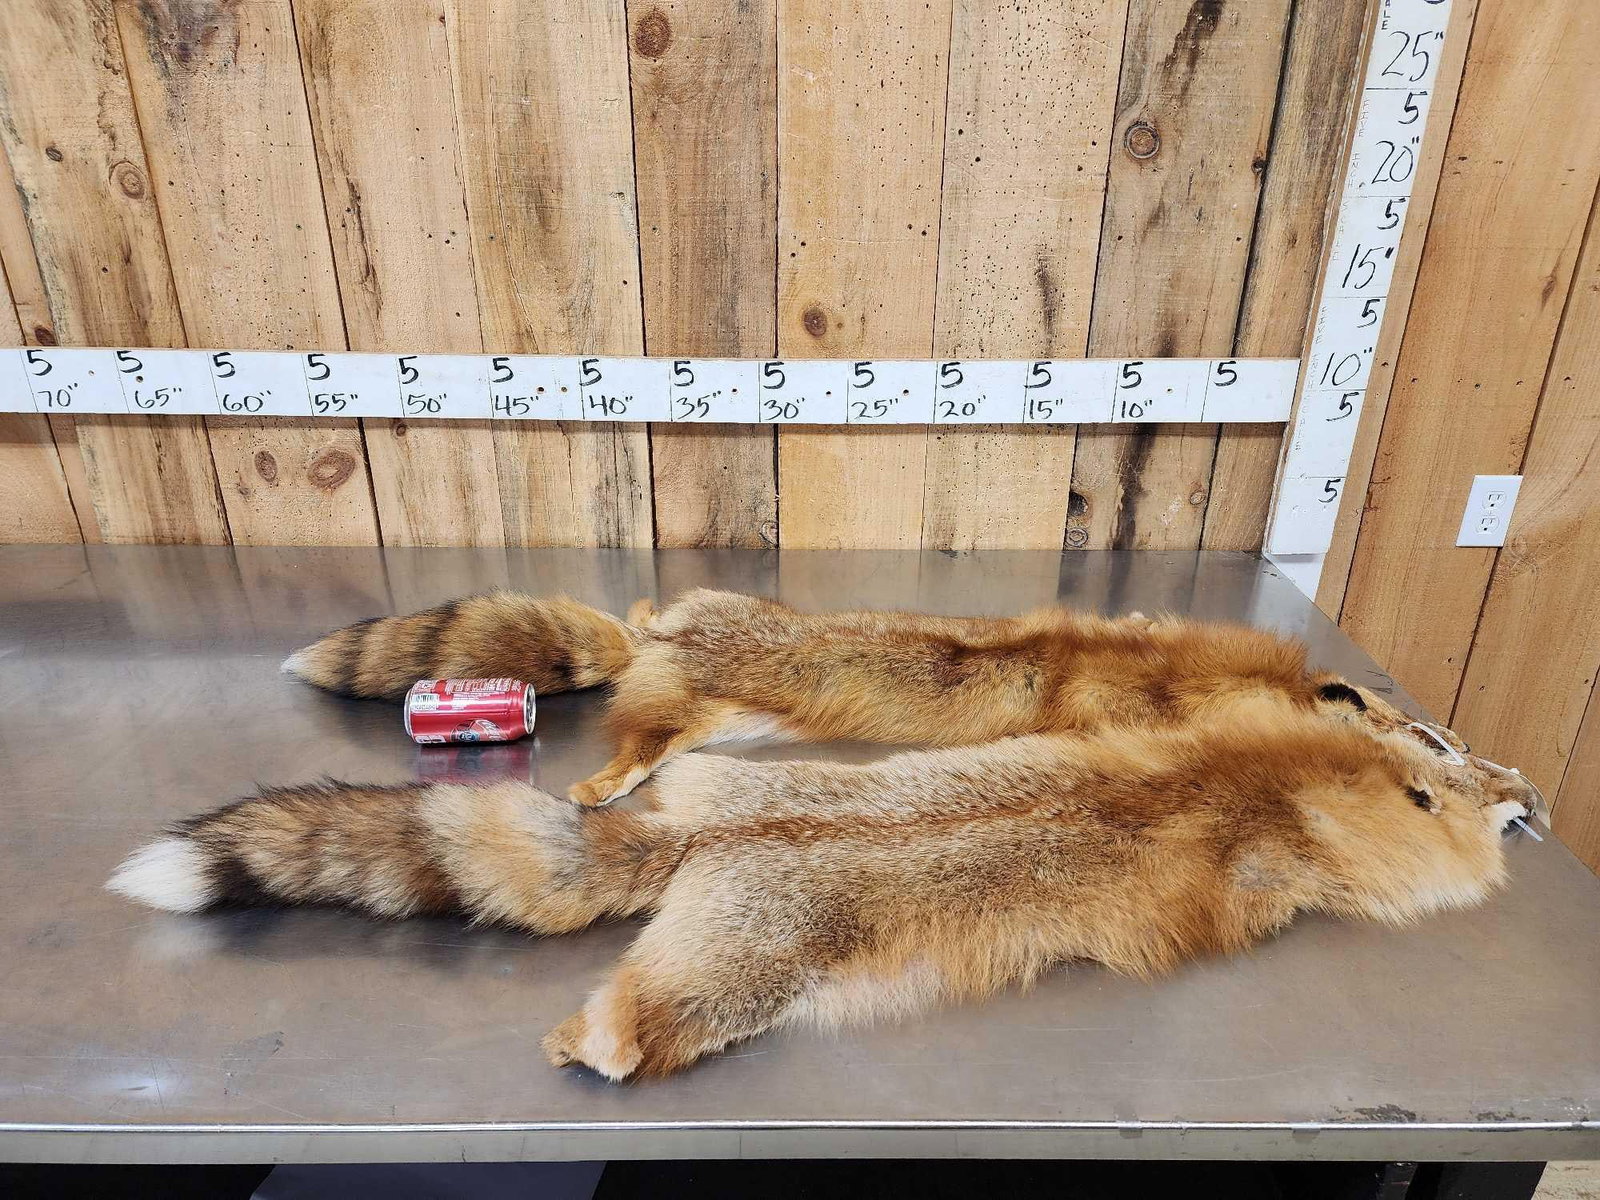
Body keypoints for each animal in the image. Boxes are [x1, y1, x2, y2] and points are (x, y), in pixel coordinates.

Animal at [108, 710, 1539, 1080]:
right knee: (632, 1029)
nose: (1530, 786)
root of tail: (704, 834)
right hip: (731, 986)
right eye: (1468, 766)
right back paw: (587, 1046)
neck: (1275, 772)